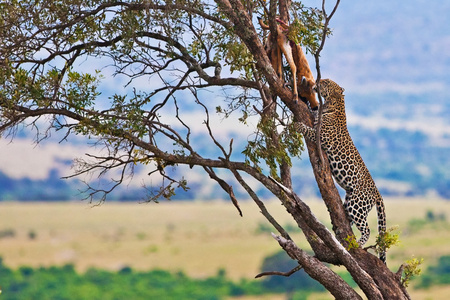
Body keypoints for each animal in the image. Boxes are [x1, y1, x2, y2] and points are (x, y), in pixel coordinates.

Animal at [296, 78, 386, 262]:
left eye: (325, 82)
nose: (316, 81)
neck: (333, 104)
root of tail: (376, 192)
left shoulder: (321, 136)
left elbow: (309, 130)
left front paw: (298, 125)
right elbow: (312, 111)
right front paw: (304, 102)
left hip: (357, 204)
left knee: (366, 228)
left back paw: (359, 244)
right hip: (350, 199)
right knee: (347, 220)